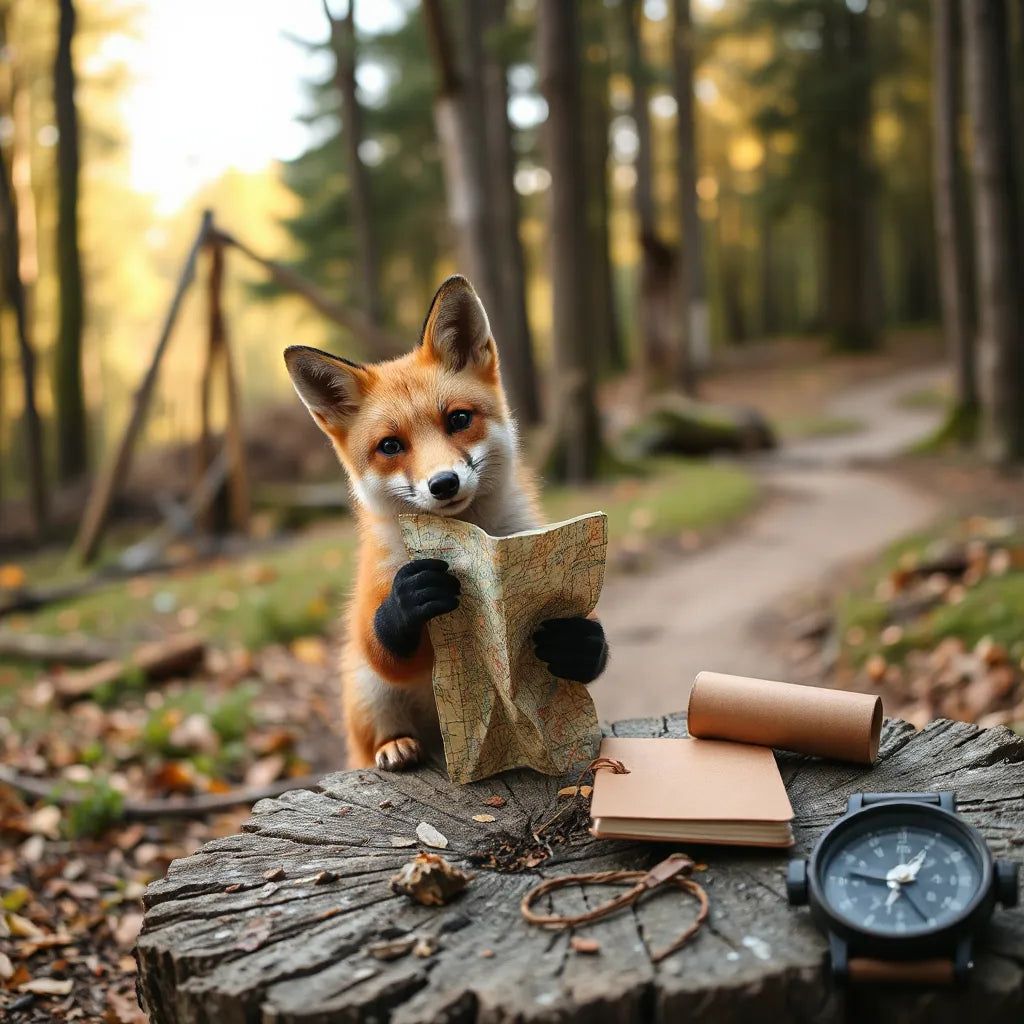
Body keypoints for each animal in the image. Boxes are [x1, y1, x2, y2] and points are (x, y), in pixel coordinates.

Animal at [284, 275, 609, 771]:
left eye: (458, 419)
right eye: (390, 446)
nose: (443, 483)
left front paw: (582, 643)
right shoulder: (374, 603)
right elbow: (387, 647)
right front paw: (410, 599)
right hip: (364, 688)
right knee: (372, 730)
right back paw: (395, 746)